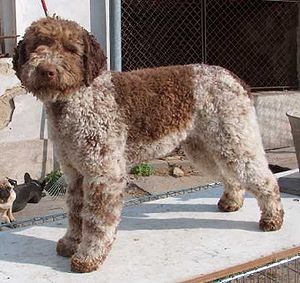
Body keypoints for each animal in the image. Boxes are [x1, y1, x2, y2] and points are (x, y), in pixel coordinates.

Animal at [11, 17, 284, 272]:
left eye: (71, 49)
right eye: (37, 46)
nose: (46, 71)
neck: (78, 99)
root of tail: (235, 78)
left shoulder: (103, 174)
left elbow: (96, 221)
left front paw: (88, 256)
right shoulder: (75, 173)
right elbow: (75, 213)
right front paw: (70, 243)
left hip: (233, 139)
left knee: (264, 178)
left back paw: (272, 218)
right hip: (206, 148)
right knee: (231, 176)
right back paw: (231, 202)